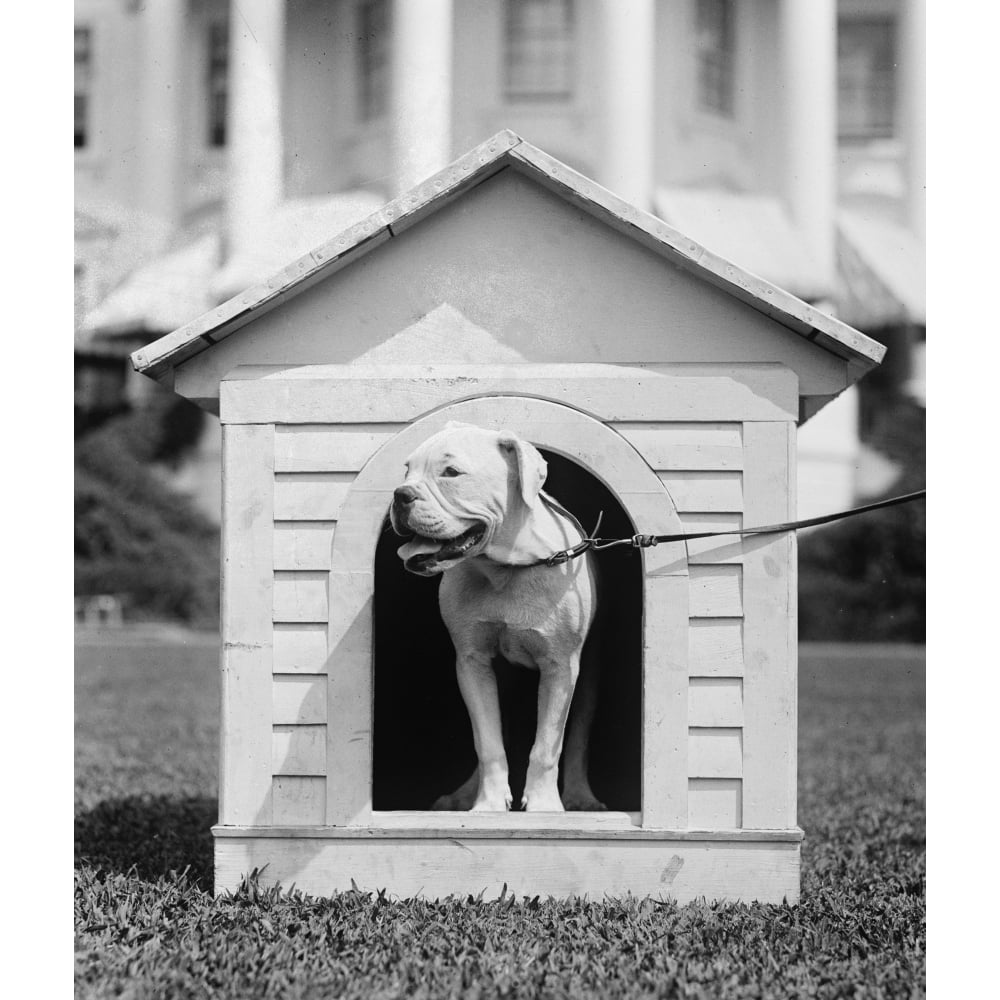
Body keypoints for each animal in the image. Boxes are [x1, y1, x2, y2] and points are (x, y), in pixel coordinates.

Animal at [390, 422, 604, 812]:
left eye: (451, 473)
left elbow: (547, 746)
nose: (401, 494)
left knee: (577, 734)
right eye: (407, 471)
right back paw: (464, 796)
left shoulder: (560, 666)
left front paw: (544, 806)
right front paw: (487, 805)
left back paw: (581, 797)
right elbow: (487, 742)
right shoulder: (472, 662)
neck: (505, 568)